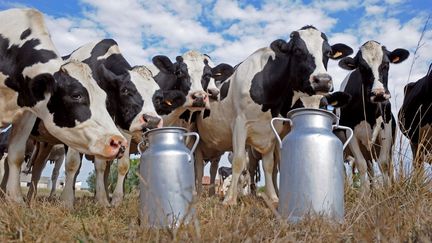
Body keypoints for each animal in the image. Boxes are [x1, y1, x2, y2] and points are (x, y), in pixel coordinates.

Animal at [0, 8, 127, 202]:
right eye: (76, 95)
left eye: (104, 98)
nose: (119, 143)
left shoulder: (28, 113)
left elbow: (16, 154)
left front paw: (15, 199)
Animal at [194, 25, 352, 205]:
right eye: (297, 50)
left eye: (328, 52)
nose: (323, 80)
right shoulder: (240, 125)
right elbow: (239, 161)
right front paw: (229, 200)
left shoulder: (271, 130)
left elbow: (270, 165)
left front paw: (273, 197)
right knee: (199, 168)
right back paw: (199, 195)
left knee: (212, 168)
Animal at [336, 40, 410, 191]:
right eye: (362, 67)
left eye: (386, 64)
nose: (379, 93)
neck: (370, 113)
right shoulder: (350, 133)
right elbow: (361, 165)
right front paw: (364, 194)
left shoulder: (386, 129)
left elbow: (383, 164)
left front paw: (387, 192)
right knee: (368, 168)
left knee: (387, 166)